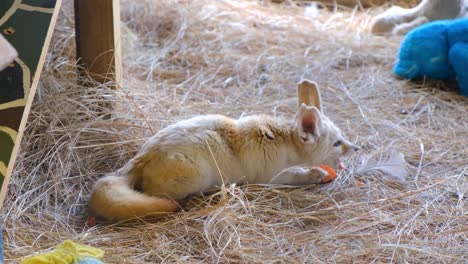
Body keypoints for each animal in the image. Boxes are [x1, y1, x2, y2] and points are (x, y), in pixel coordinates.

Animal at [88, 80, 358, 221]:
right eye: (337, 143)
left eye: (343, 137)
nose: (356, 147)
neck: (282, 138)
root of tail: (142, 157)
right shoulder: (272, 177)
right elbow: (298, 176)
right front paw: (315, 174)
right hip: (194, 177)